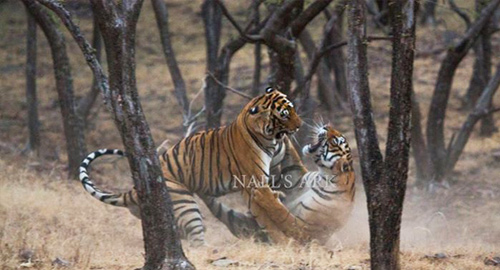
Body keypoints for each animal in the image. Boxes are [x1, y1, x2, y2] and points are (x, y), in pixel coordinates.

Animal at [79, 87, 302, 246]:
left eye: (292, 108)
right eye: (284, 114)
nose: (300, 125)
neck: (272, 139)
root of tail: (133, 189)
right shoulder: (255, 182)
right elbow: (273, 210)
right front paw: (291, 230)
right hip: (186, 205)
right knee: (196, 241)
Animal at [200, 124, 356, 245]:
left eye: (335, 140)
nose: (326, 126)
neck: (323, 177)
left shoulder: (303, 229)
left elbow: (282, 213)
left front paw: (264, 195)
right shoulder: (297, 177)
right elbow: (294, 158)